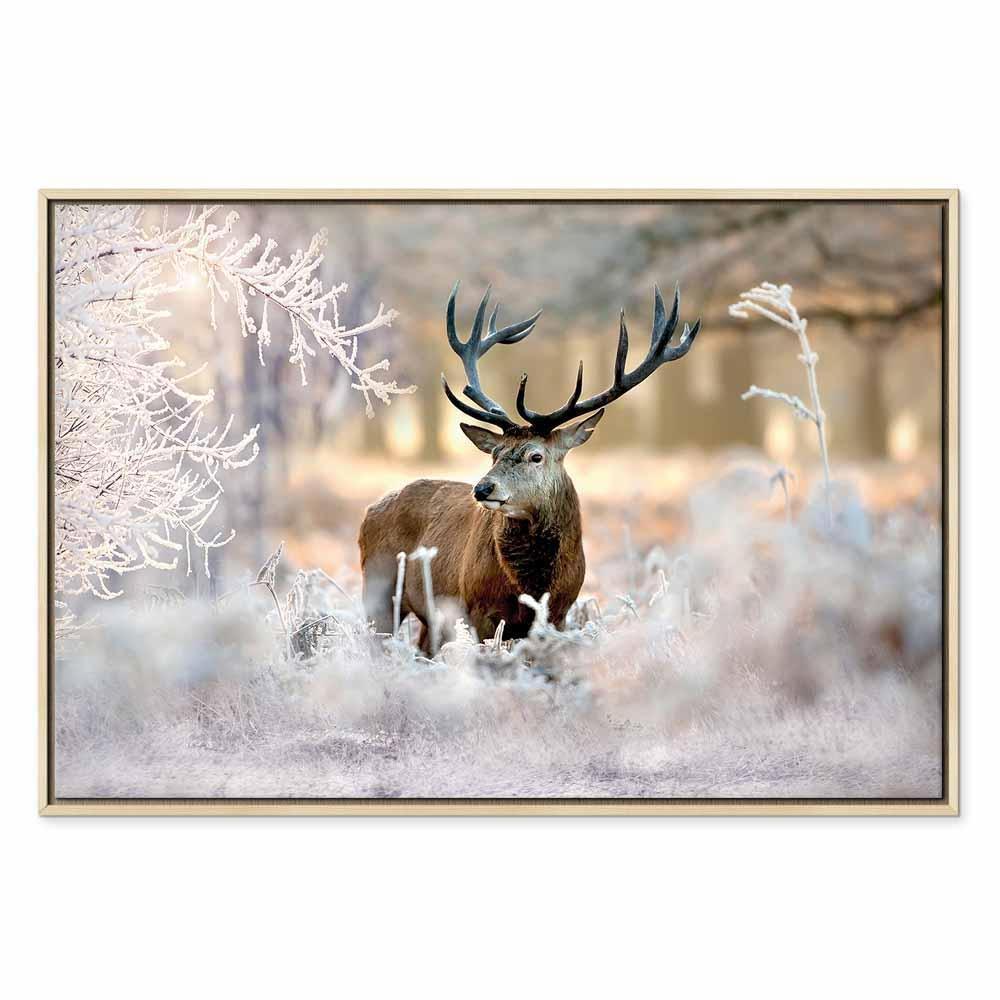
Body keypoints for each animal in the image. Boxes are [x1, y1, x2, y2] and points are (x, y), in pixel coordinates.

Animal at [359, 281, 701, 655]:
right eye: (494, 454)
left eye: (535, 456)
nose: (483, 488)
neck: (532, 586)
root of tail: (370, 511)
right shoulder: (477, 609)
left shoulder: (560, 613)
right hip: (378, 588)